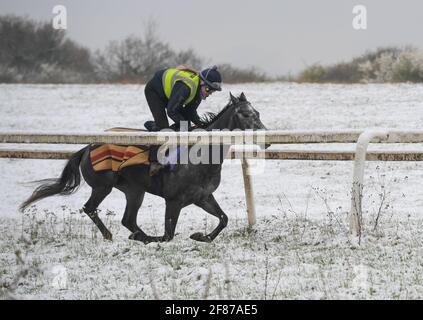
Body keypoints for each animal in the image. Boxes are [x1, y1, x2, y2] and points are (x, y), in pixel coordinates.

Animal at [20, 92, 268, 242]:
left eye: (257, 112)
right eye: (246, 114)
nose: (266, 139)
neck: (202, 156)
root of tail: (87, 147)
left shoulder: (203, 197)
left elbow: (223, 219)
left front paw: (201, 236)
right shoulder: (174, 200)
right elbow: (168, 235)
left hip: (134, 190)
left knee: (128, 220)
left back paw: (139, 236)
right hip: (103, 186)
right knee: (90, 209)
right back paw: (114, 235)